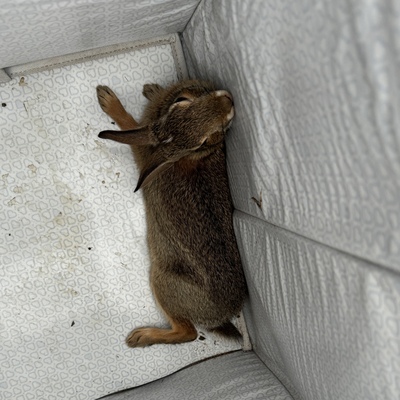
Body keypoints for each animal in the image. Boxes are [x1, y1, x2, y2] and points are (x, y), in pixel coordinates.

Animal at [96, 79, 247, 346]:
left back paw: (139, 337)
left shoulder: (143, 153)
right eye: (181, 100)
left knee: (188, 333)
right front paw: (150, 89)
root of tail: (222, 316)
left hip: (162, 281)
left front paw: (108, 100)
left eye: (206, 140)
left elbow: (131, 126)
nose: (227, 100)